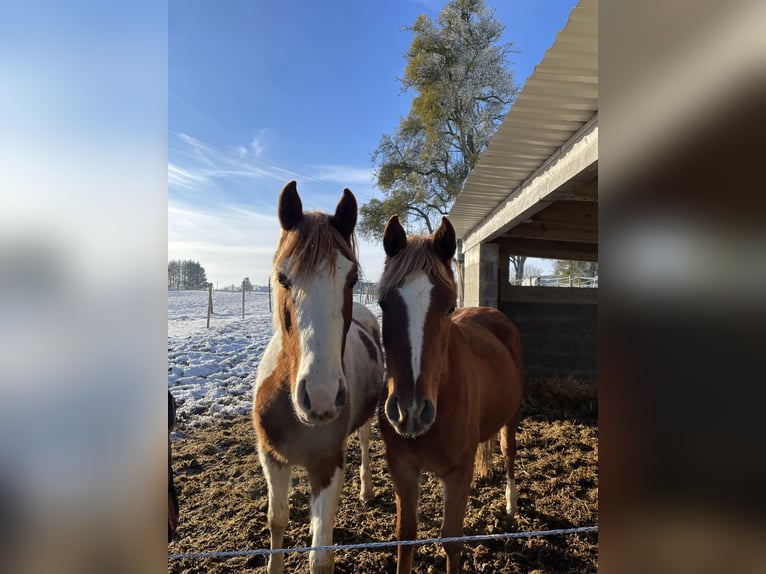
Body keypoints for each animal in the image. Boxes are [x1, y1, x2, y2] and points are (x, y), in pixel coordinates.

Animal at [254, 181, 388, 574]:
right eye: (283, 277)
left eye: (352, 278)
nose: (321, 398)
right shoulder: (272, 459)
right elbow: (277, 520)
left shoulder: (328, 466)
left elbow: (320, 556)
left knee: (364, 445)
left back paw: (366, 489)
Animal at [380, 216, 528, 574]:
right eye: (383, 304)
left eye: (449, 307)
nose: (410, 411)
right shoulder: (402, 468)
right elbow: (406, 535)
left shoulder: (459, 471)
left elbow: (451, 539)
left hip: (511, 417)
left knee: (509, 451)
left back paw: (511, 503)